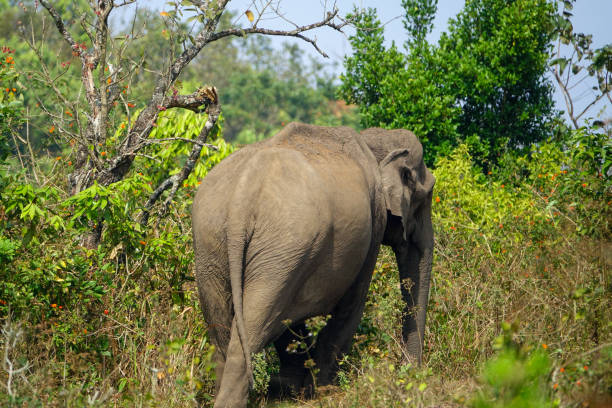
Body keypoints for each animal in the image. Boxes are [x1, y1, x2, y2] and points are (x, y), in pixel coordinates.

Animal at [191, 122, 436, 406]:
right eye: (425, 196)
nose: (408, 374)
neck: (374, 139)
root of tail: (242, 197)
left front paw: (292, 389)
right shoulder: (372, 224)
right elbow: (351, 306)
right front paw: (323, 390)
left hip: (214, 244)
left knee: (226, 328)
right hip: (284, 246)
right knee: (256, 326)